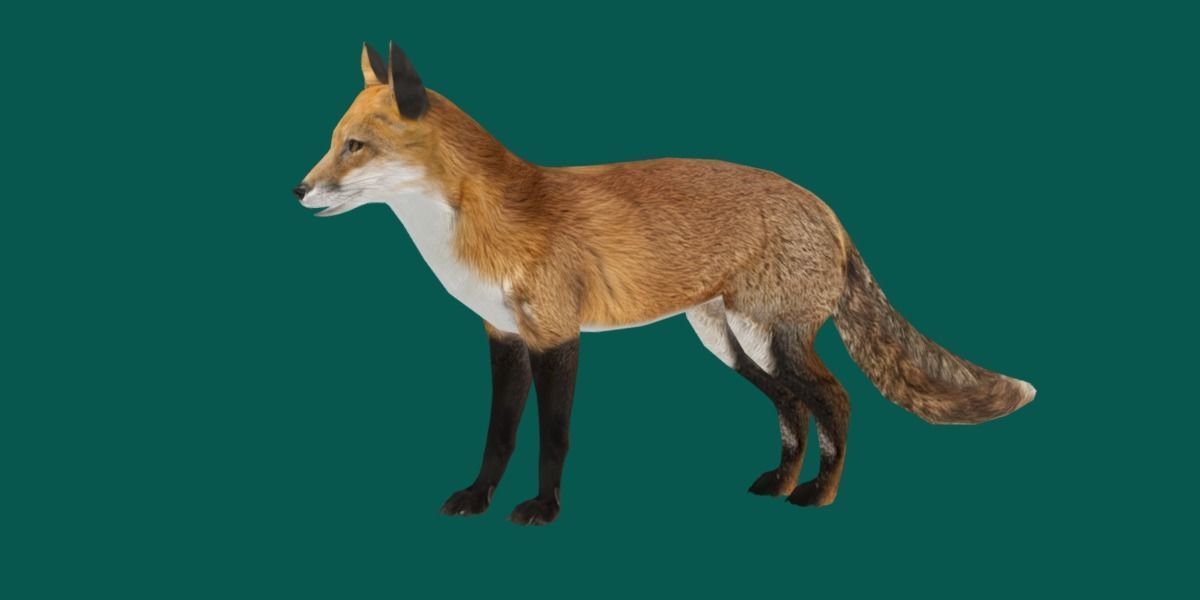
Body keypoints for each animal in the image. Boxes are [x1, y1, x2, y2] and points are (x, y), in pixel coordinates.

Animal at [295, 42, 1036, 525]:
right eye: (334, 141)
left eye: (355, 147)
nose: (298, 190)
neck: (478, 230)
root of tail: (826, 208)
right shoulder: (502, 336)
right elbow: (498, 435)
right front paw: (478, 498)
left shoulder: (557, 338)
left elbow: (552, 437)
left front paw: (543, 508)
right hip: (732, 342)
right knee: (793, 408)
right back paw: (780, 481)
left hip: (776, 340)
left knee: (837, 401)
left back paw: (818, 494)